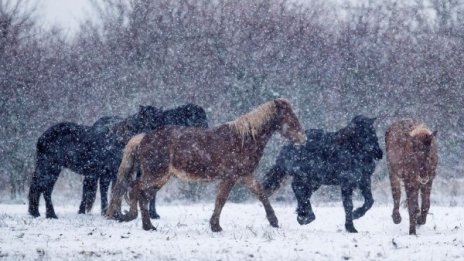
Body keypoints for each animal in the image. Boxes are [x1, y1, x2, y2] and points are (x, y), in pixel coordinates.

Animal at [25, 103, 207, 217]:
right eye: (150, 120)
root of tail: (42, 138)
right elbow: (117, 190)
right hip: (51, 168)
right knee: (45, 189)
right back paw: (51, 214)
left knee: (38, 188)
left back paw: (37, 212)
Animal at [106, 98, 306, 231]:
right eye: (288, 116)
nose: (303, 138)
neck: (243, 140)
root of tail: (143, 137)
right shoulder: (231, 176)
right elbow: (221, 199)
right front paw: (216, 226)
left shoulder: (244, 176)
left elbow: (261, 193)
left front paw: (274, 221)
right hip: (155, 175)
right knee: (135, 188)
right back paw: (131, 217)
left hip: (161, 178)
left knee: (143, 195)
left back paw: (147, 225)